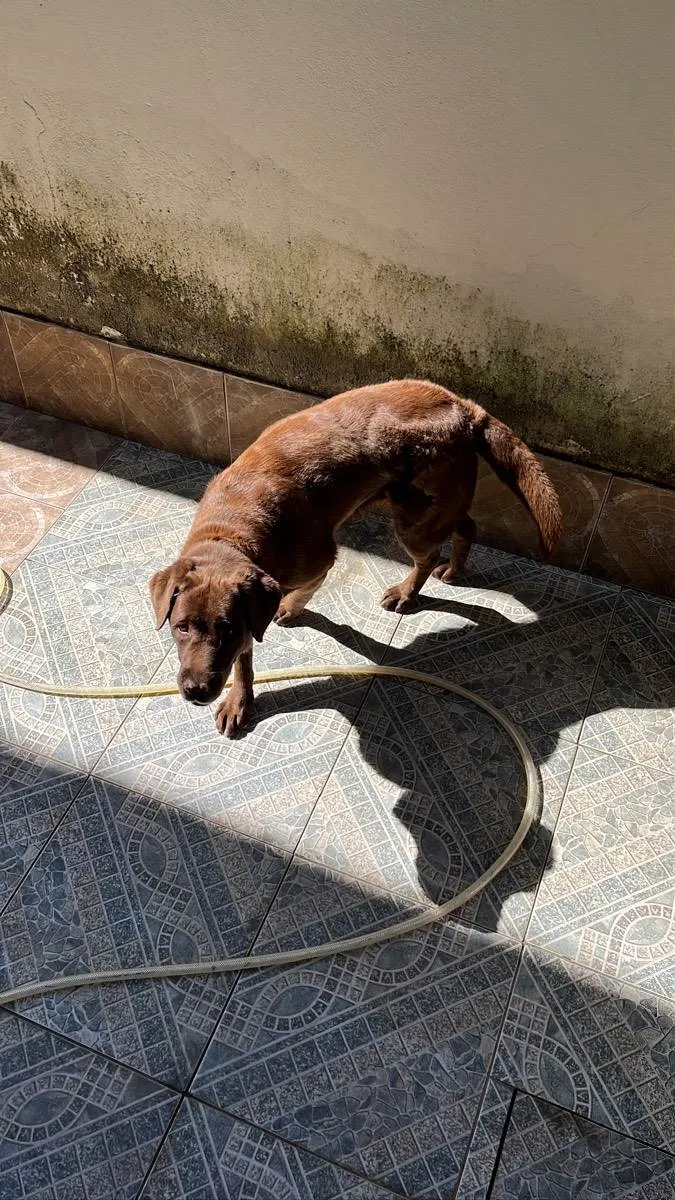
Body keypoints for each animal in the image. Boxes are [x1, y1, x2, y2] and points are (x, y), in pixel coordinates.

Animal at [149, 376, 559, 729]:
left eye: (228, 628)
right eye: (180, 626)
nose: (196, 690)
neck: (232, 529)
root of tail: (466, 409)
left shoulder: (315, 563)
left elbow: (296, 598)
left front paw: (289, 609)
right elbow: (244, 663)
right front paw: (240, 699)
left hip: (416, 520)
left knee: (428, 556)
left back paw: (407, 592)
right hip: (437, 507)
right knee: (466, 527)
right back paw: (454, 571)